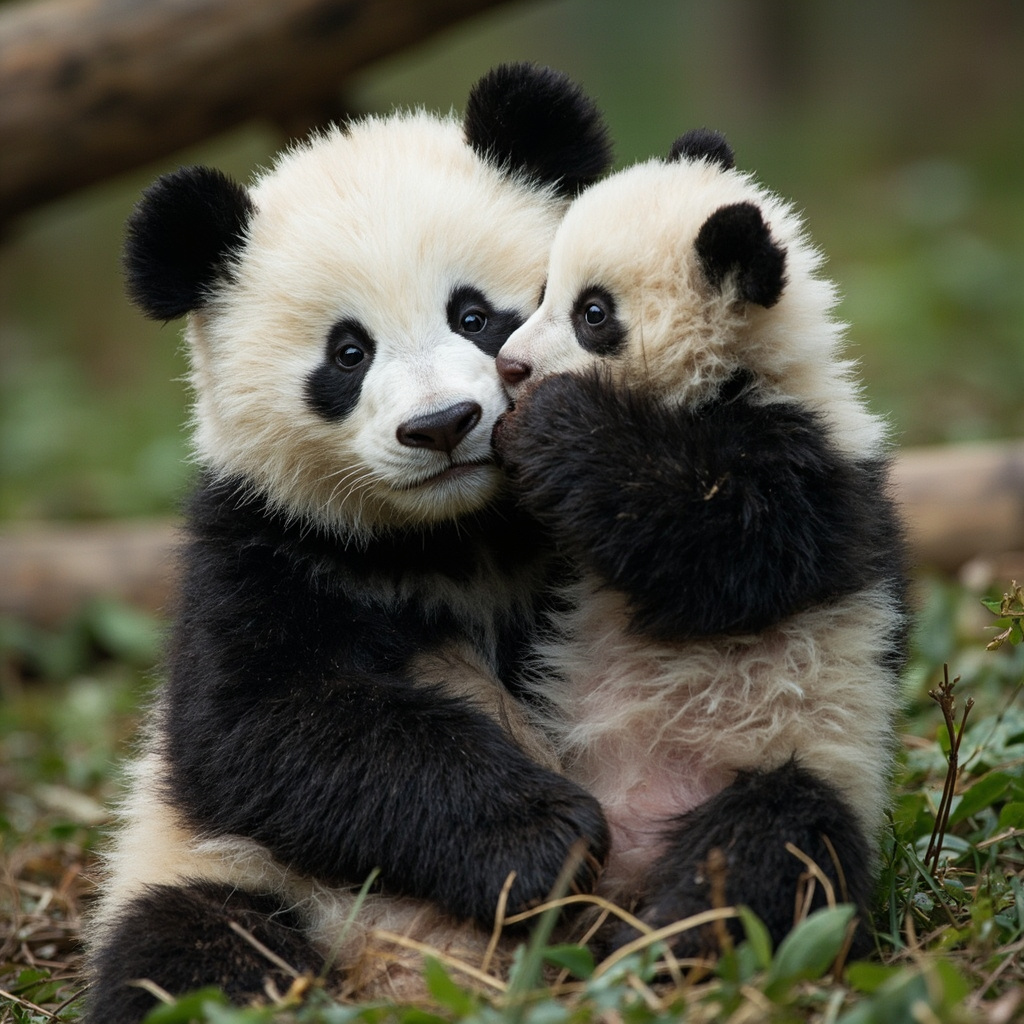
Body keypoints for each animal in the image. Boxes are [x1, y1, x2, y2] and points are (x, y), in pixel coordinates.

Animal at [84, 64, 614, 1024]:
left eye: (475, 316)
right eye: (347, 354)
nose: (442, 425)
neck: (452, 535)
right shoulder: (261, 543)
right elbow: (259, 727)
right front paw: (543, 842)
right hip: (217, 869)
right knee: (185, 951)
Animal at [493, 128, 907, 957]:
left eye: (593, 313)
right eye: (544, 290)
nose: (510, 366)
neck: (733, 380)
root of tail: (633, 856)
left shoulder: (809, 471)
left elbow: (721, 543)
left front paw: (553, 422)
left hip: (798, 754)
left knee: (773, 846)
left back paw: (672, 940)